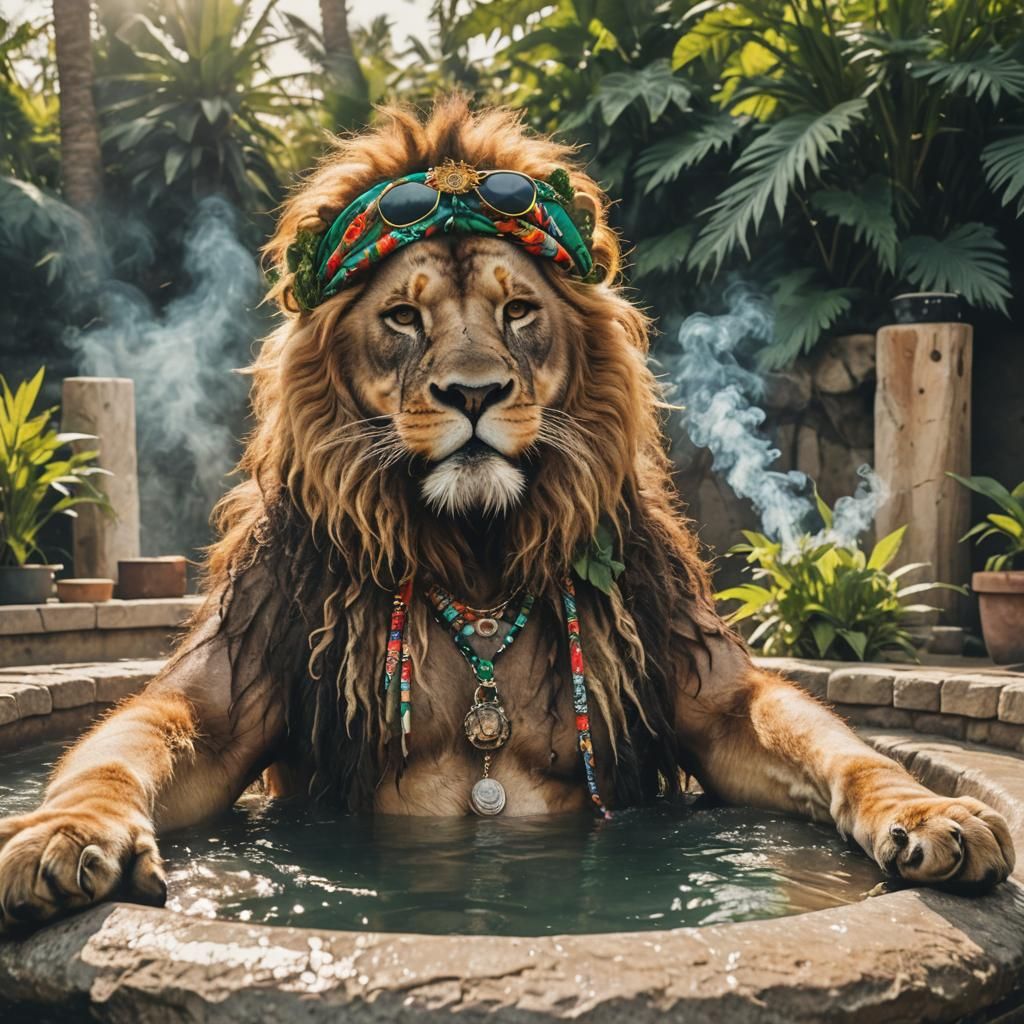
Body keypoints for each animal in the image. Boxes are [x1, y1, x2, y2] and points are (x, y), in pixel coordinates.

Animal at [0, 98, 1013, 927]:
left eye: (519, 309)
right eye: (403, 319)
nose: (474, 393)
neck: (477, 552)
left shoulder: (710, 686)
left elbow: (840, 749)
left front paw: (929, 810)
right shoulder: (237, 663)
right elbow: (126, 749)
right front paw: (63, 832)